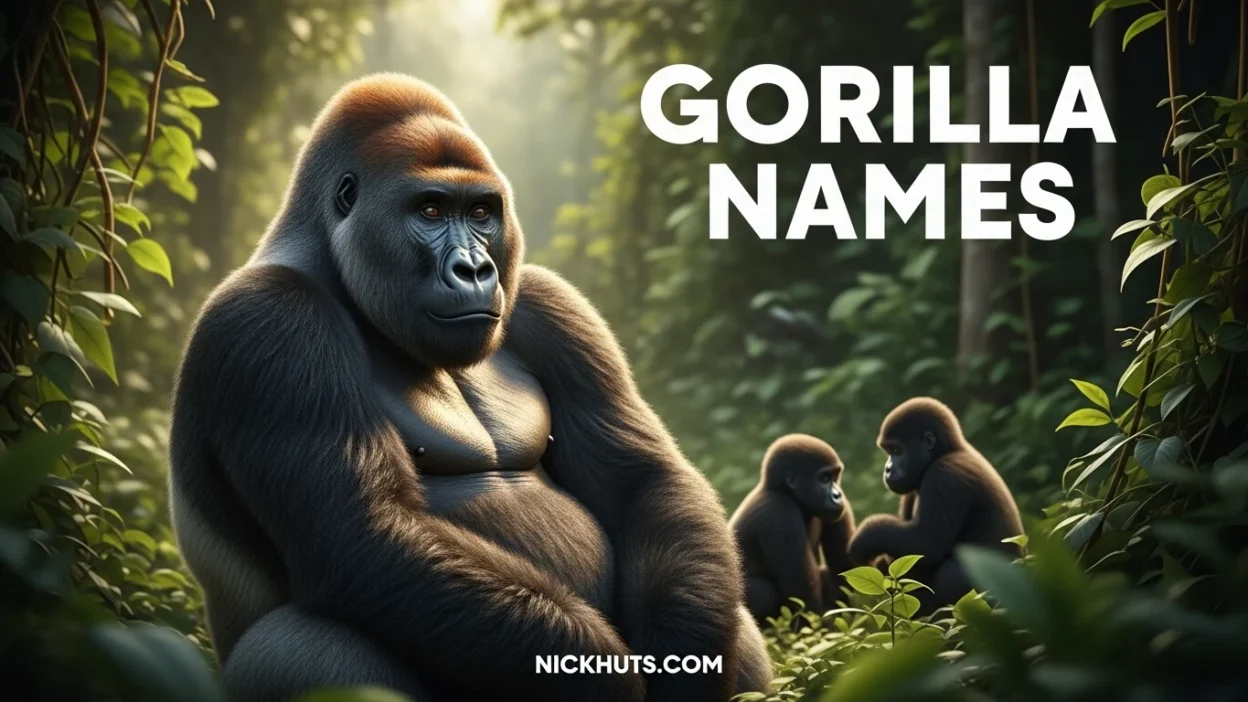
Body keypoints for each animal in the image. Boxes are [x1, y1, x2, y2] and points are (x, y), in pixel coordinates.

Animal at [167, 74, 771, 702]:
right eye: (430, 210)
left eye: (481, 212)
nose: (476, 270)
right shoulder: (270, 322)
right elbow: (364, 533)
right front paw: (599, 678)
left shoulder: (552, 304)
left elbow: (644, 481)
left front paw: (686, 662)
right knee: (310, 643)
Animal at [730, 434, 856, 624]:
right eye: (824, 479)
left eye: (835, 477)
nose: (837, 495)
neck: (782, 491)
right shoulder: (780, 513)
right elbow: (806, 601)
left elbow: (844, 570)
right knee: (762, 592)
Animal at [847, 397, 1024, 611]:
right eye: (888, 451)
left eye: (897, 451)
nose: (888, 469)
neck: (945, 452)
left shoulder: (944, 477)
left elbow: (926, 544)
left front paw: (864, 538)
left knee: (953, 572)